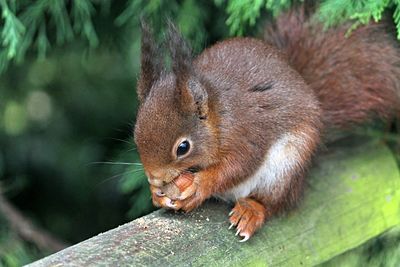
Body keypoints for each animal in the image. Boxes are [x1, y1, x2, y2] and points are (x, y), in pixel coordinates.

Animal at [132, 8, 400, 243]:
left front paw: (200, 185)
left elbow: (238, 166)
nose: (155, 178)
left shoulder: (246, 133)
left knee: (271, 203)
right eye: (136, 137)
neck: (219, 117)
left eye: (183, 147)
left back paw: (251, 211)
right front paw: (156, 194)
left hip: (286, 167)